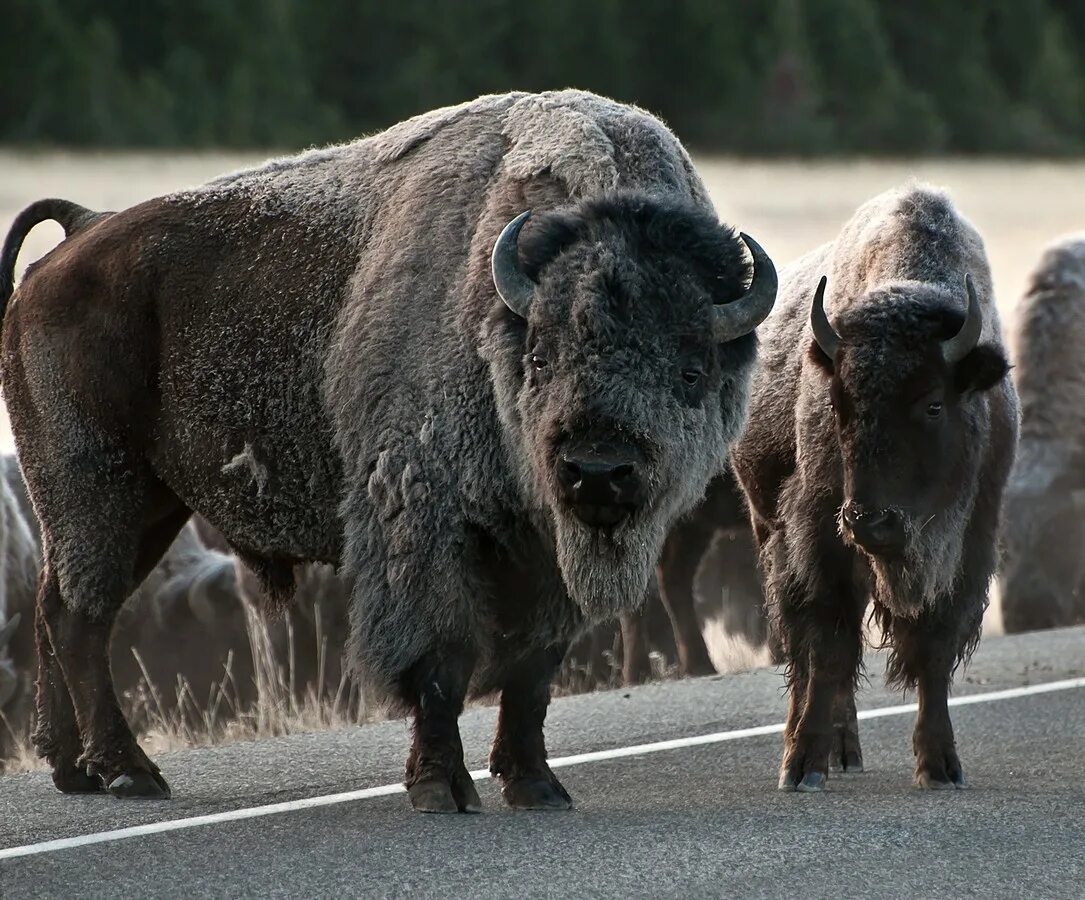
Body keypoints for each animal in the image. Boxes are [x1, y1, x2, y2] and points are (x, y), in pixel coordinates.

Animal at [4, 91, 776, 807]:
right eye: (541, 356)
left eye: (691, 370)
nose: (597, 471)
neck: (497, 314)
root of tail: (76, 237)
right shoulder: (425, 524)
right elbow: (440, 658)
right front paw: (442, 786)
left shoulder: (544, 553)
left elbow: (531, 670)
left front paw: (534, 783)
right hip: (97, 489)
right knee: (81, 616)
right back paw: (129, 772)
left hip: (146, 508)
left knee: (56, 609)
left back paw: (74, 770)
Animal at [729, 185, 1015, 790]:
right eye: (839, 404)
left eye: (933, 404)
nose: (871, 521)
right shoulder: (819, 539)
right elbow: (829, 647)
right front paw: (803, 766)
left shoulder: (969, 549)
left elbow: (934, 651)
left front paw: (940, 766)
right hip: (772, 530)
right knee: (804, 651)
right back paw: (817, 749)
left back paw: (845, 751)